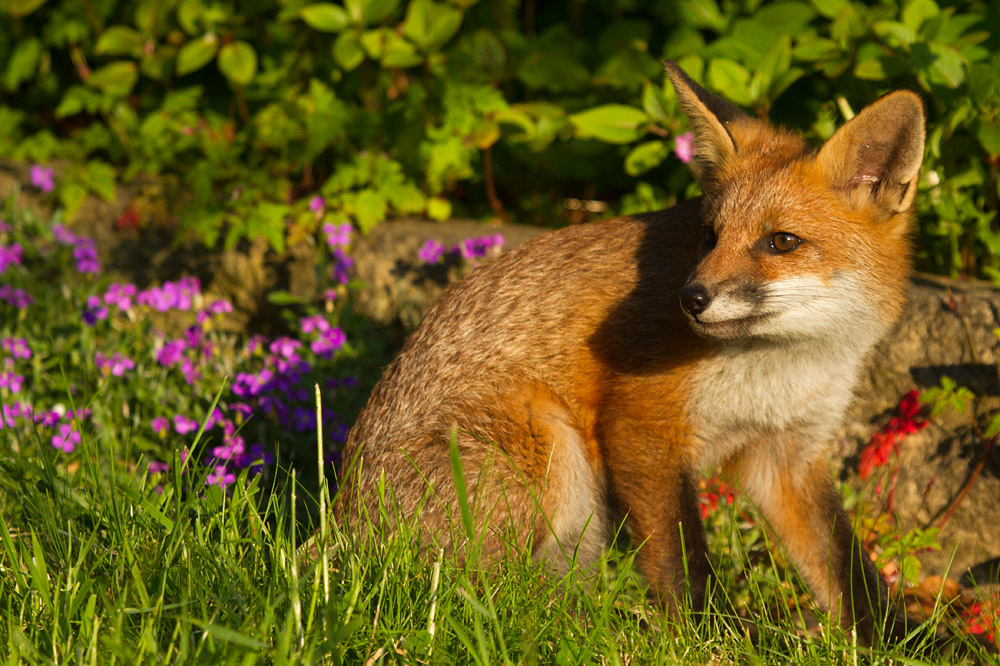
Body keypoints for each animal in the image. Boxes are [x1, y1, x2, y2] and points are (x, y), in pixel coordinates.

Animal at [337, 62, 928, 646]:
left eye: (782, 242)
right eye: (709, 236)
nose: (691, 298)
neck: (781, 366)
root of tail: (343, 530)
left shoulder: (787, 453)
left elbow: (845, 568)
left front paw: (904, 640)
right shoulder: (642, 425)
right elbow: (682, 563)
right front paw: (713, 639)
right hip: (553, 449)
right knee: (479, 600)